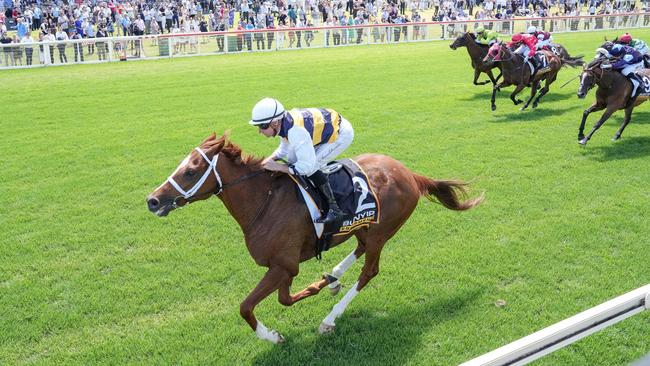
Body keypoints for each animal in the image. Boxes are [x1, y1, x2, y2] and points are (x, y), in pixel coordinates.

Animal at [146, 132, 480, 344]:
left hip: (382, 232)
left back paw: (330, 319)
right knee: (359, 250)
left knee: (369, 271)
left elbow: (247, 306)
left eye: (191, 171)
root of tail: (410, 174)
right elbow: (284, 298)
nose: (153, 200)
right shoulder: (285, 266)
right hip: (364, 228)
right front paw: (319, 285)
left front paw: (272, 337)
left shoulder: (283, 265)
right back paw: (332, 277)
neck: (264, 201)